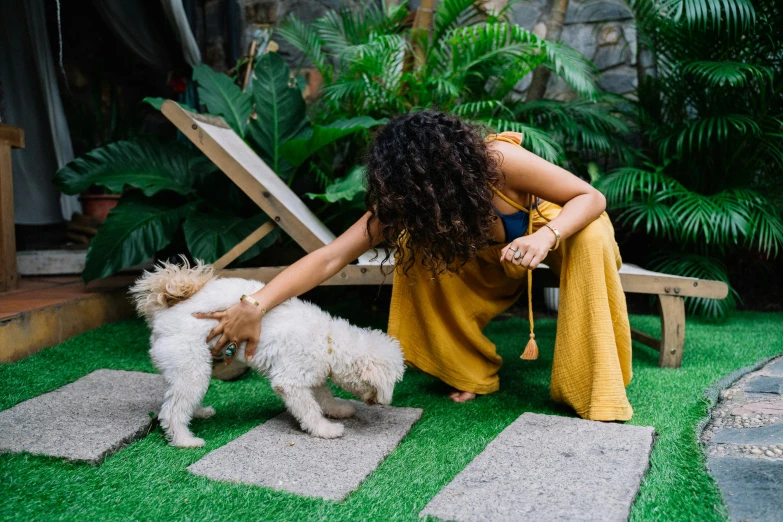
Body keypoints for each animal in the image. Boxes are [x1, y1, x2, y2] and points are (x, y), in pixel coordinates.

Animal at [130, 258, 404, 444]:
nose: (384, 403)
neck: (328, 341)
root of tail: (162, 313)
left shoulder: (312, 375)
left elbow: (325, 396)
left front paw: (338, 411)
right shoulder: (290, 381)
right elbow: (310, 409)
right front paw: (325, 430)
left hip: (186, 369)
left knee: (177, 399)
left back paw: (200, 413)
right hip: (191, 368)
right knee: (171, 411)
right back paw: (185, 441)